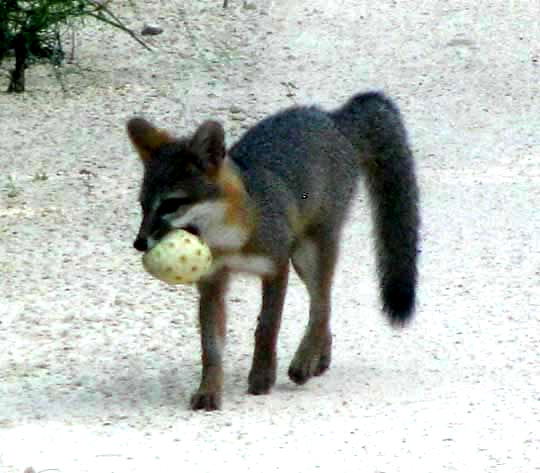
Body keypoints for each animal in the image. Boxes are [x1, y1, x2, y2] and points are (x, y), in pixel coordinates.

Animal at [127, 91, 422, 410]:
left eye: (171, 204)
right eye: (143, 205)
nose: (139, 243)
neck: (231, 242)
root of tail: (333, 117)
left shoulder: (276, 268)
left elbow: (267, 327)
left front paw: (262, 375)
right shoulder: (213, 284)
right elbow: (211, 348)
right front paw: (209, 390)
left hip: (307, 255)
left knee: (322, 305)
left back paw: (305, 360)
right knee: (323, 306)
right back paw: (320, 357)